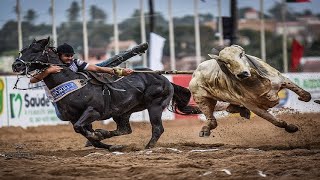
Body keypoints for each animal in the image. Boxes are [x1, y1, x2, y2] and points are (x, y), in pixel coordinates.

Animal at [13, 37, 200, 150]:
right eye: (22, 50)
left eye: (35, 50)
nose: (16, 65)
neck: (73, 84)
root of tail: (165, 79)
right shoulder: (76, 118)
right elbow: (84, 132)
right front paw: (105, 142)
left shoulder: (92, 112)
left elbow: (81, 128)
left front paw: (98, 136)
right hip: (123, 111)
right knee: (125, 129)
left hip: (154, 106)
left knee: (157, 128)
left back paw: (147, 147)